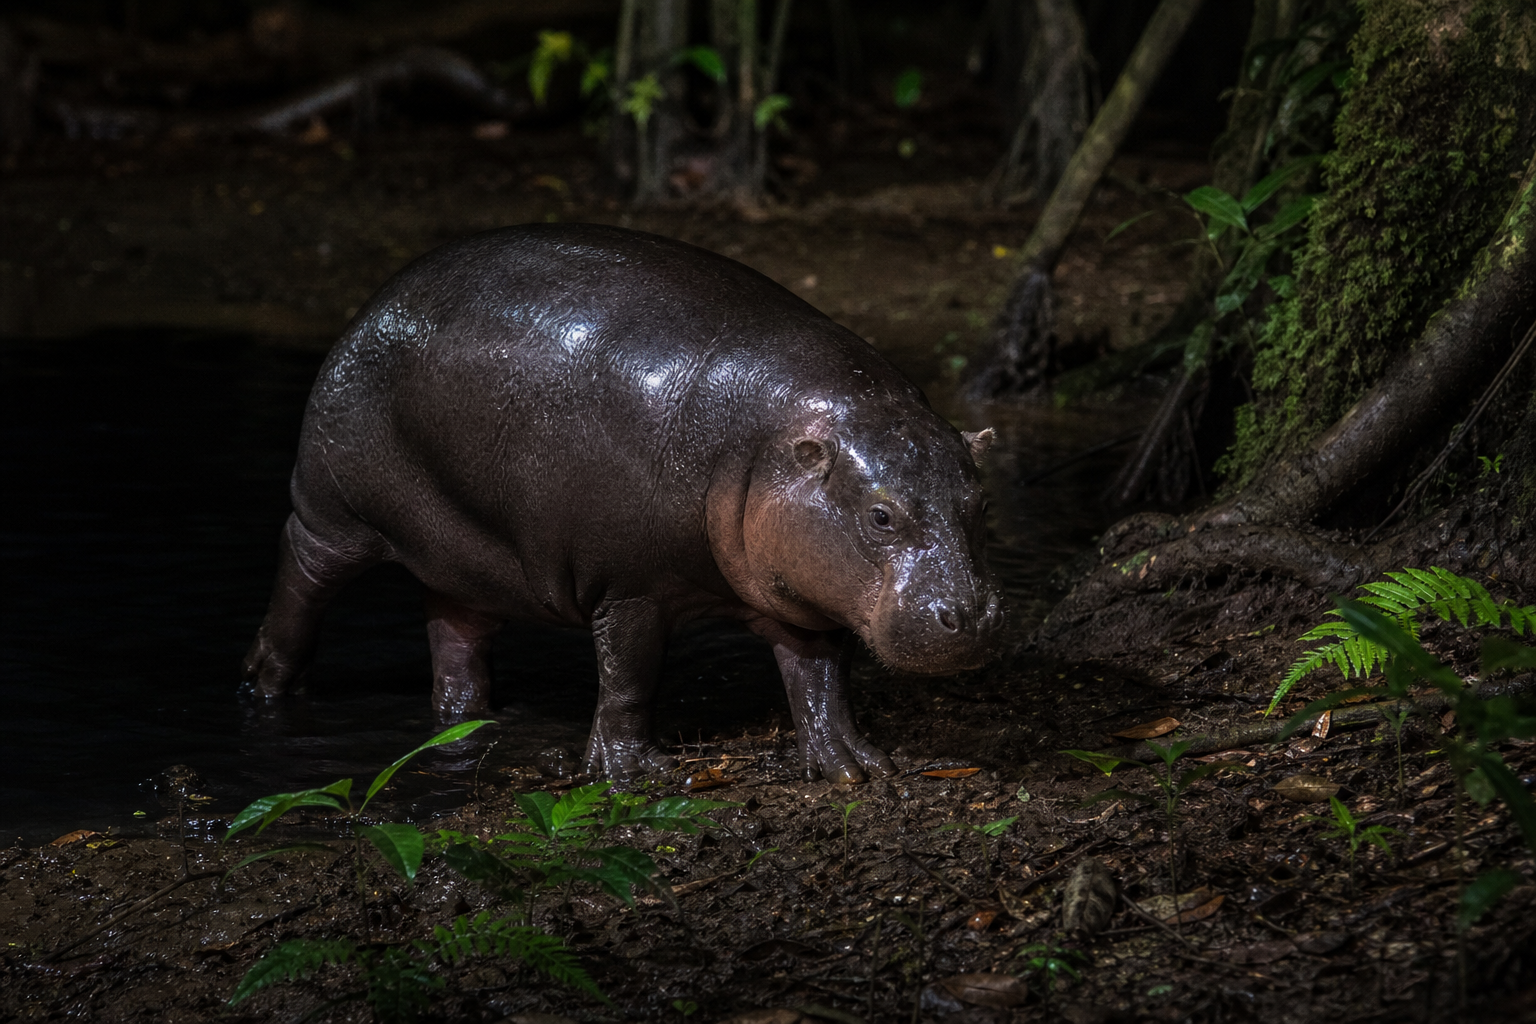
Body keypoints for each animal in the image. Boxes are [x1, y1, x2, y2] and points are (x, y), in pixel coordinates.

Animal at [243, 224, 1003, 782]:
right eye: (881, 515)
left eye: (981, 505)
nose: (968, 614)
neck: (770, 441)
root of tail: (375, 301)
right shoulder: (630, 586)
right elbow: (629, 679)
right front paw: (636, 774)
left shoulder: (799, 589)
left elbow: (820, 678)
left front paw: (857, 765)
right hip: (335, 510)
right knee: (299, 574)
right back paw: (266, 686)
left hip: (463, 557)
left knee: (456, 642)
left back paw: (478, 724)